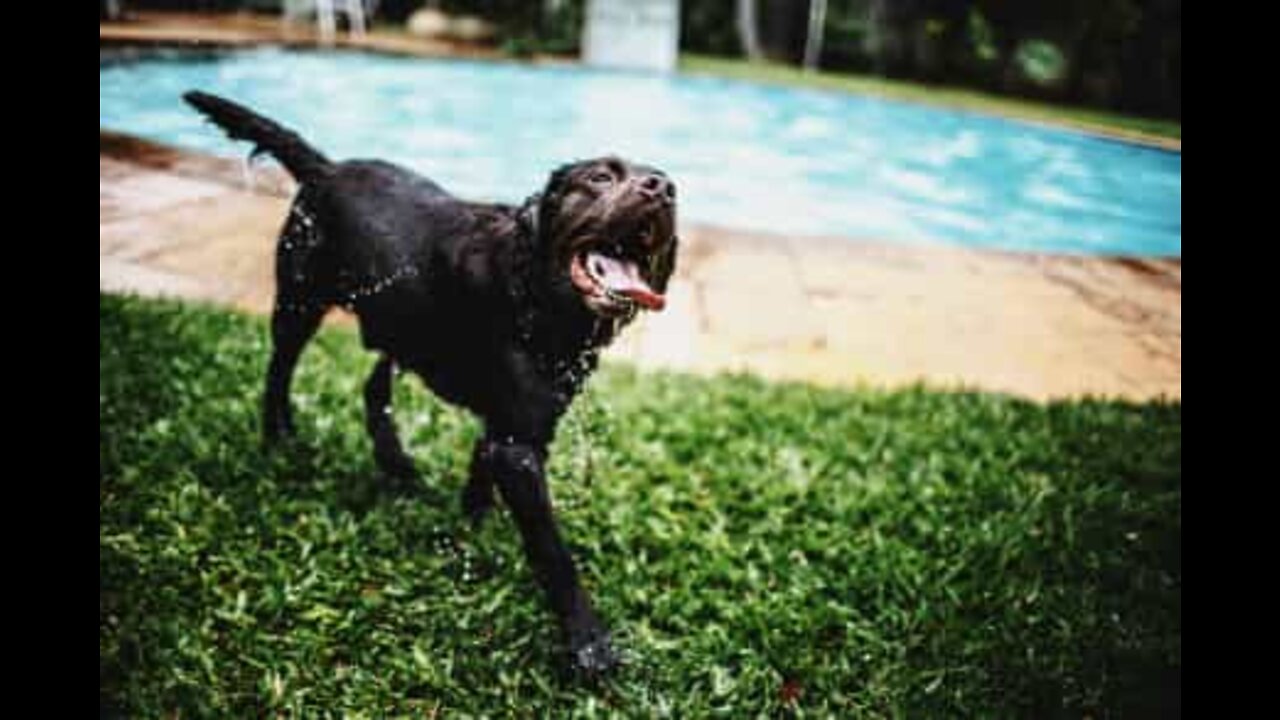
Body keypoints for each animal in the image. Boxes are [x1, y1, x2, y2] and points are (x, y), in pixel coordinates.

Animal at [185, 89, 680, 671]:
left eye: (666, 183)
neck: (535, 294)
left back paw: (396, 466)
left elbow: (480, 476)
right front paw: (589, 645)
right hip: (300, 301)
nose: (663, 188)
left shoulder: (513, 428)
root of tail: (326, 168)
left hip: (396, 323)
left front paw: (472, 530)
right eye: (601, 177)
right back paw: (279, 440)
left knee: (371, 388)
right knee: (278, 372)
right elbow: (554, 553)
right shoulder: (518, 444)